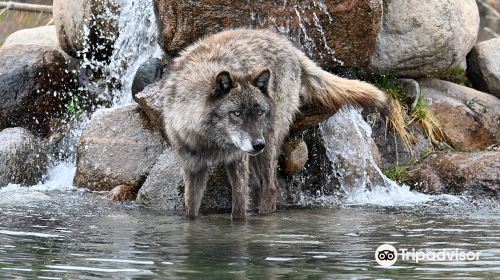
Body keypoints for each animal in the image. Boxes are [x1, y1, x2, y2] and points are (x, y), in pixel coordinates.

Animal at [160, 29, 386, 221]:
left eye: (259, 112)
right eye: (236, 113)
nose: (257, 144)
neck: (209, 141)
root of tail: (288, 45)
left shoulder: (237, 161)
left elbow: (239, 211)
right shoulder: (192, 168)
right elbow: (191, 211)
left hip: (268, 143)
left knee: (271, 187)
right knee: (258, 186)